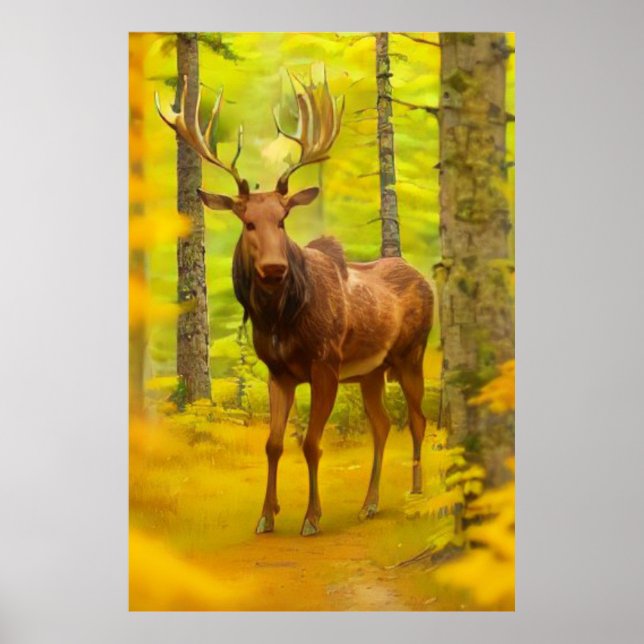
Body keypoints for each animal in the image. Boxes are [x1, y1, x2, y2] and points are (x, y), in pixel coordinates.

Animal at [156, 71, 433, 536]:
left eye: (283, 220)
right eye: (248, 222)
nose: (274, 266)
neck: (280, 319)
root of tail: (426, 278)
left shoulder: (325, 364)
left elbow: (312, 443)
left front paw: (311, 517)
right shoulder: (279, 372)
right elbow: (272, 444)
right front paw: (267, 516)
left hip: (411, 354)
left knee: (418, 418)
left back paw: (415, 491)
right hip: (371, 372)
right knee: (381, 425)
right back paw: (370, 503)